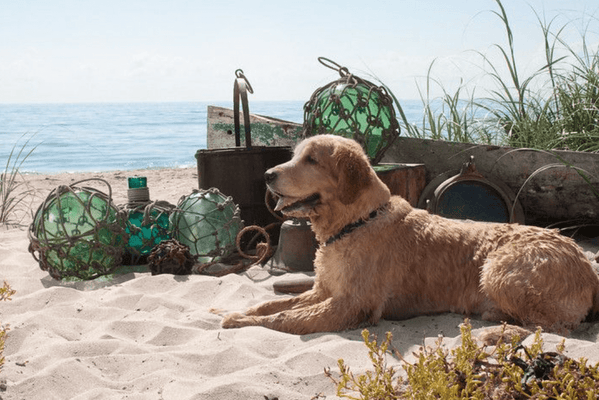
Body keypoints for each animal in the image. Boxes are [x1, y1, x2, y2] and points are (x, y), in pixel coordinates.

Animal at [221, 134, 599, 334]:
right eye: (295, 155)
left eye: (312, 159)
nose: (267, 175)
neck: (356, 221)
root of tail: (585, 262)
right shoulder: (323, 290)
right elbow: (274, 303)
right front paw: (246, 312)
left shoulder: (351, 305)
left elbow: (285, 317)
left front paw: (240, 319)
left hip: (498, 268)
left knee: (552, 324)